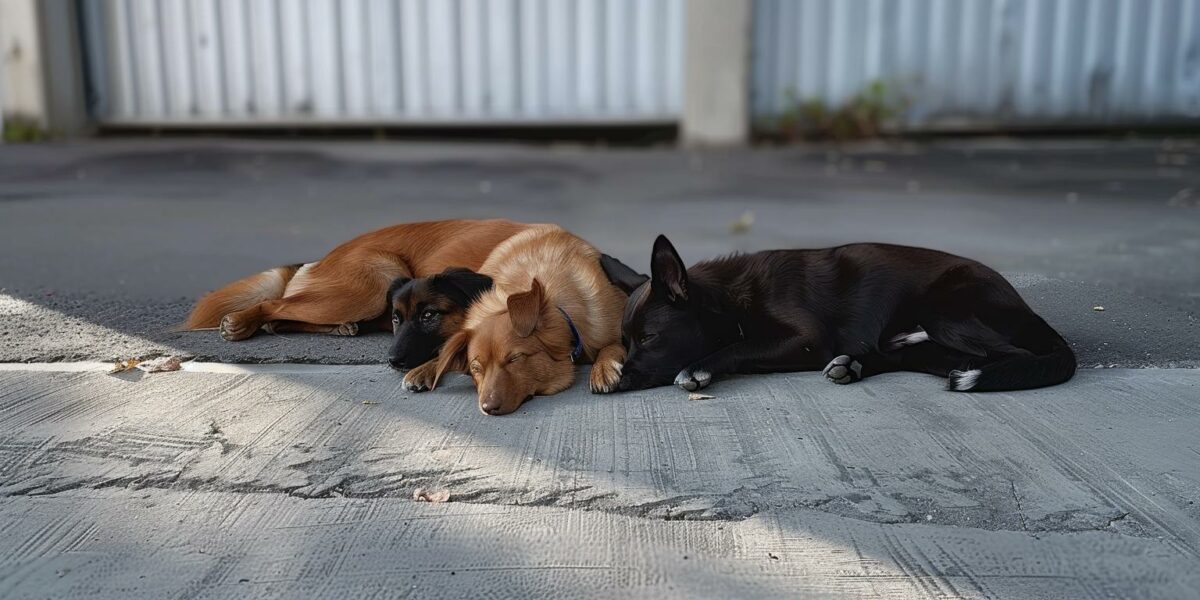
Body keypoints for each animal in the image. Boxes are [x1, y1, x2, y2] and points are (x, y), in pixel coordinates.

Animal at [183, 220, 540, 343]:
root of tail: (321, 258)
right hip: (376, 281)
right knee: (274, 305)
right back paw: (240, 323)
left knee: (281, 319)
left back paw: (342, 329)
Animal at [609, 234, 1080, 393]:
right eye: (623, 341)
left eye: (649, 338)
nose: (614, 381)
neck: (731, 301)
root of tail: (1026, 308)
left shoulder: (807, 340)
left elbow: (740, 347)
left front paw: (698, 368)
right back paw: (853, 364)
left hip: (947, 312)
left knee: (1010, 357)